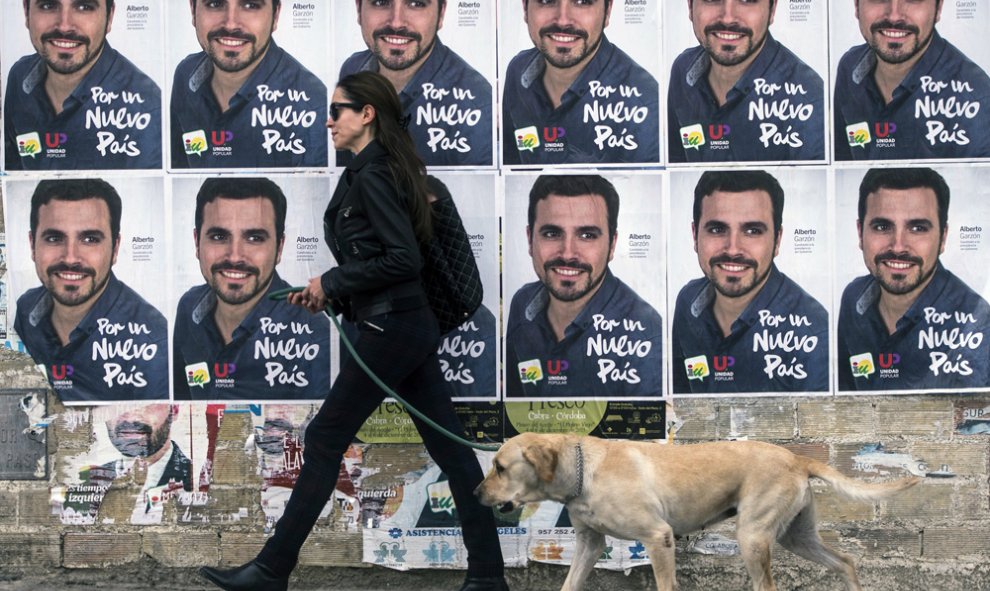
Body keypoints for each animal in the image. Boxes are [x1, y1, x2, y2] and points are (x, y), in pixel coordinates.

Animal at [476, 430, 920, 591]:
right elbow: (570, 584)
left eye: (500, 467)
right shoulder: (588, 545)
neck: (583, 471)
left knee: (768, 586)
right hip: (797, 536)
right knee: (845, 561)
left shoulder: (658, 538)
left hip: (752, 537)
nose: (477, 494)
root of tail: (797, 458)